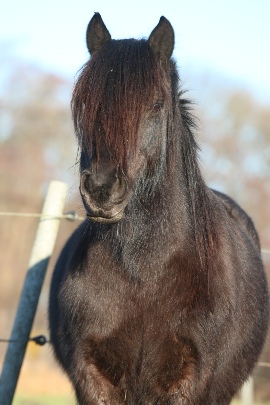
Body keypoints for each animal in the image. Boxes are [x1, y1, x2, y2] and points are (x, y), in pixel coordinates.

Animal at [49, 13, 268, 404]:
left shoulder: (190, 381)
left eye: (154, 104)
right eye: (85, 103)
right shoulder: (91, 377)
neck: (145, 275)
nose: (102, 189)